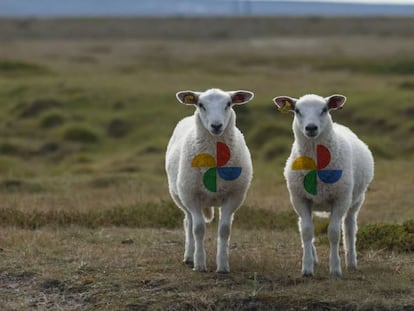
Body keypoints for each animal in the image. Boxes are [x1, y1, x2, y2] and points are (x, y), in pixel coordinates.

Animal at [165, 88, 252, 272]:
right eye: (200, 104)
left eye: (228, 104)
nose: (216, 125)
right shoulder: (191, 196)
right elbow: (198, 229)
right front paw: (199, 264)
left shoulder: (234, 196)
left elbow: (224, 230)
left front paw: (223, 265)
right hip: (182, 196)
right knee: (188, 223)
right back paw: (189, 257)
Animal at [274, 93, 374, 278]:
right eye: (297, 110)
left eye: (324, 109)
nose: (311, 128)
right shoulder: (300, 198)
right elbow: (307, 231)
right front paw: (307, 268)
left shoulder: (340, 199)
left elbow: (334, 233)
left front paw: (335, 268)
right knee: (303, 226)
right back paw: (314, 258)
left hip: (356, 200)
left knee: (349, 227)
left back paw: (351, 262)